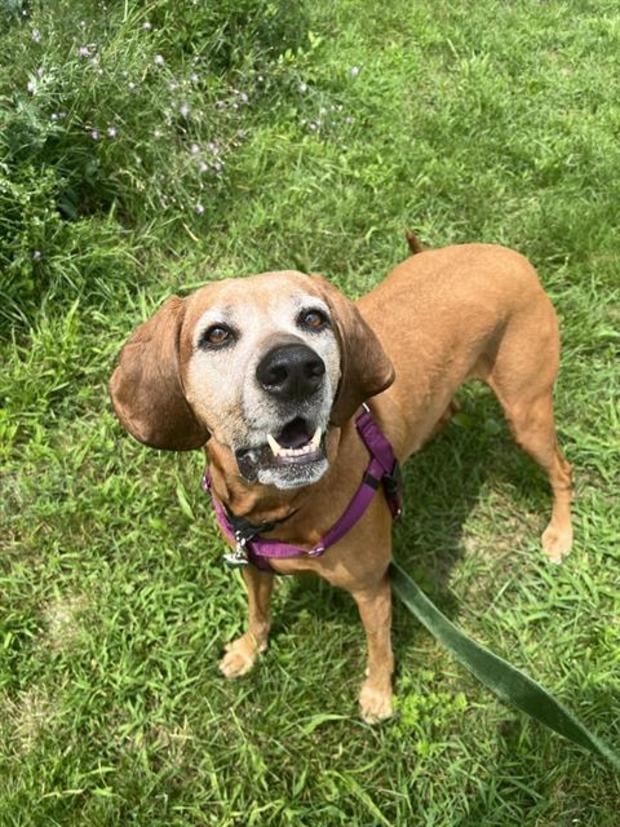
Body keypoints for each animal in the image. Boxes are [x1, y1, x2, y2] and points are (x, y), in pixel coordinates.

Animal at [110, 236, 572, 720]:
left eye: (313, 318)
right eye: (216, 334)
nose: (294, 367)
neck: (283, 508)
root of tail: (508, 255)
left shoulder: (372, 587)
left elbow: (379, 646)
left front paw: (378, 694)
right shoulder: (251, 566)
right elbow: (258, 612)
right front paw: (249, 649)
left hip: (526, 409)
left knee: (562, 469)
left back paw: (560, 534)